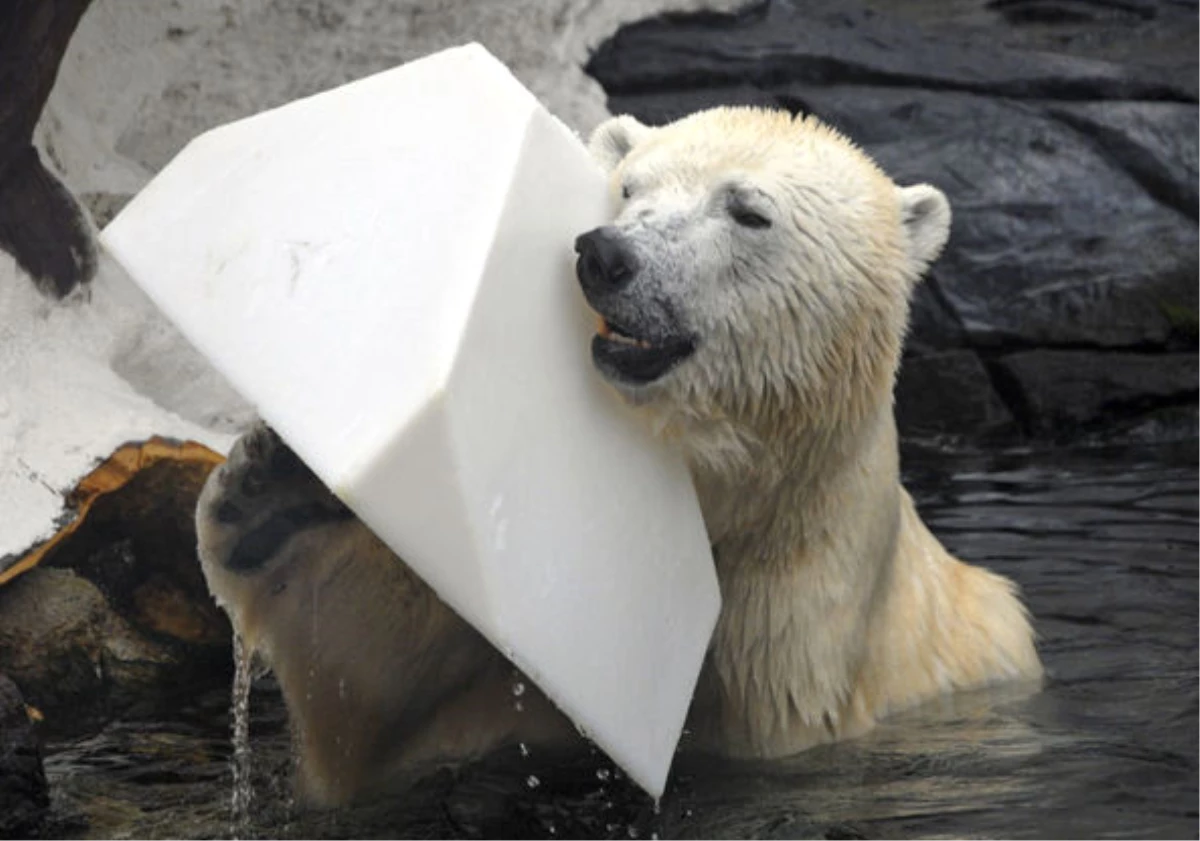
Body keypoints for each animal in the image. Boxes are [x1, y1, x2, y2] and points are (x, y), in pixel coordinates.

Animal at [194, 106, 1041, 806]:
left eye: (748, 210)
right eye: (629, 186)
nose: (605, 254)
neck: (733, 503)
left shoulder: (793, 635)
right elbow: (371, 702)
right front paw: (268, 499)